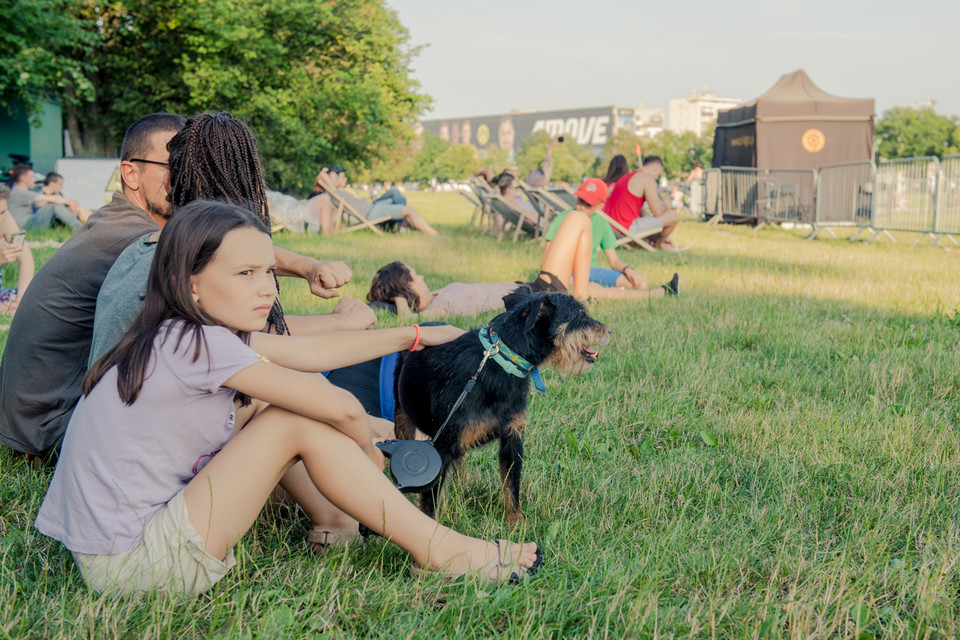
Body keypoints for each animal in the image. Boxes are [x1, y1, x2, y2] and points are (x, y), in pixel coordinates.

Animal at [394, 288, 612, 524]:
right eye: (579, 315)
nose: (609, 330)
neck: (502, 362)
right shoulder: (440, 449)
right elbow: (430, 505)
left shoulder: (513, 438)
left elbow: (511, 486)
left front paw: (516, 524)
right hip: (402, 416)